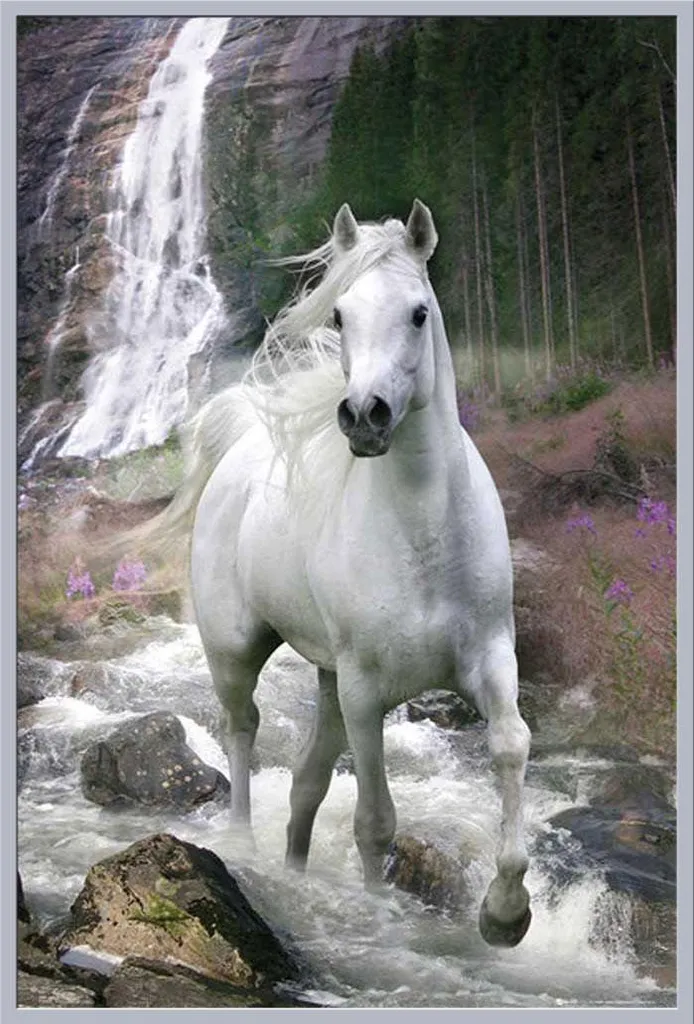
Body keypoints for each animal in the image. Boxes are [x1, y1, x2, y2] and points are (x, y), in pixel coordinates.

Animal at [137, 199, 532, 947]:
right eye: (340, 316)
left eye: (418, 312)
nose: (364, 416)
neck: (423, 537)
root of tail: (240, 443)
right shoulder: (366, 691)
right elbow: (375, 823)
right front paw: (380, 918)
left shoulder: (491, 660)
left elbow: (510, 747)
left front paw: (505, 913)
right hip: (237, 652)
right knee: (243, 729)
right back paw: (242, 845)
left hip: (323, 677)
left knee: (306, 782)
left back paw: (292, 866)